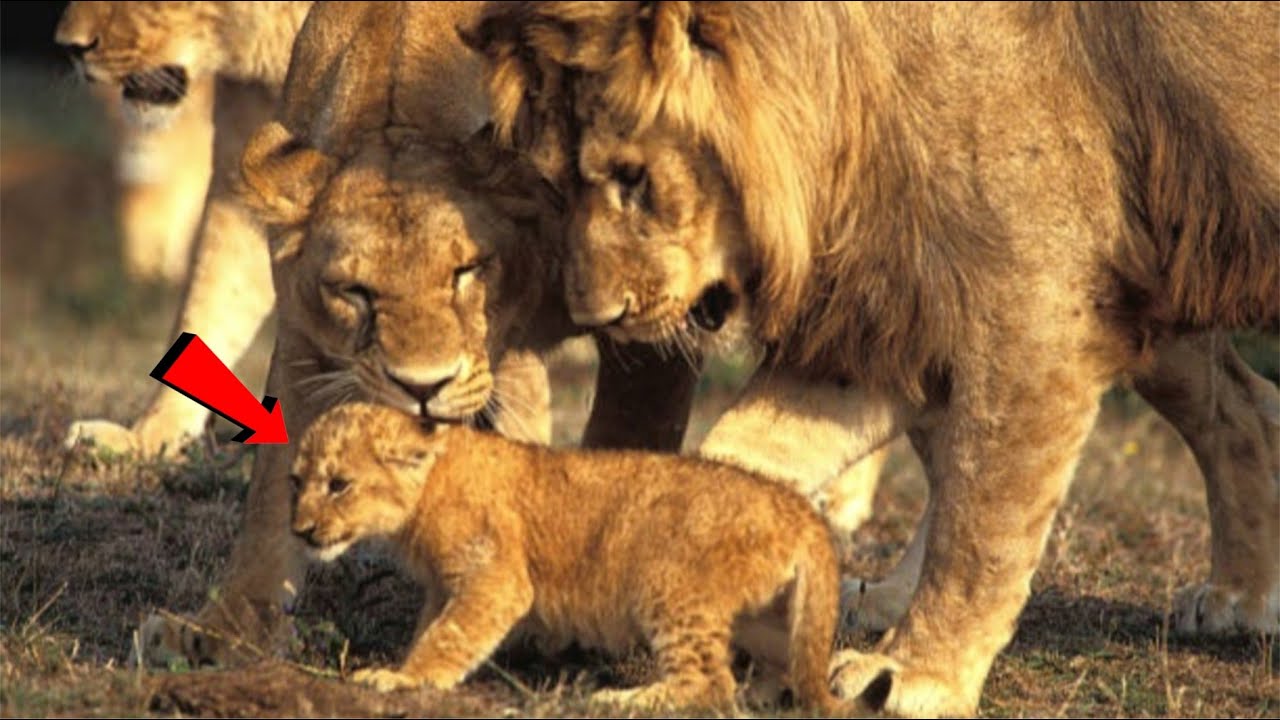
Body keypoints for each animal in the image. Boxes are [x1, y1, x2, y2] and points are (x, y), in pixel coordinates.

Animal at [289, 402, 846, 714]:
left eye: (338, 484)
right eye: (297, 481)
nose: (300, 531)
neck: (426, 489)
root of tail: (798, 508)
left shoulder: (496, 579)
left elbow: (448, 635)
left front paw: (402, 680)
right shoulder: (445, 586)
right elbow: (431, 627)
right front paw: (404, 668)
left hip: (668, 588)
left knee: (711, 684)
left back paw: (621, 701)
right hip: (766, 618)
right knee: (783, 667)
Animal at [466, 2, 1280, 715]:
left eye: (632, 177)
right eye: (560, 181)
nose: (598, 318)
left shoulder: (1039, 306)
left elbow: (982, 525)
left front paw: (914, 673)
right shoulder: (896, 305)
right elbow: (744, 452)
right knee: (1246, 405)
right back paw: (1241, 597)